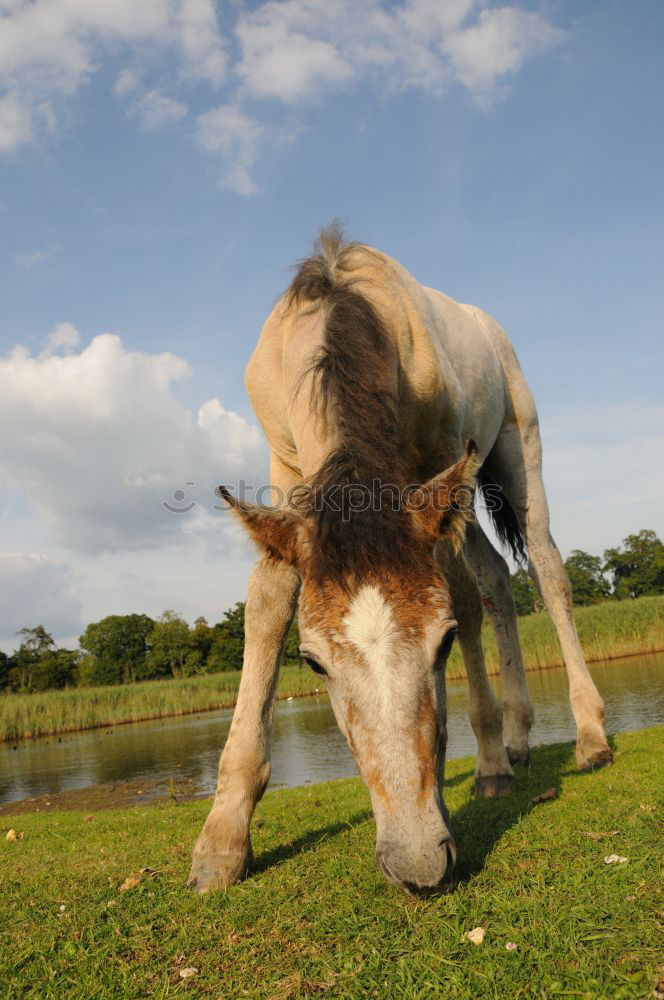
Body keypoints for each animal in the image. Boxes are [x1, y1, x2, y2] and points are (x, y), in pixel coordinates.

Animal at [188, 227, 612, 900]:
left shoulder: (439, 461)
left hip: (513, 447)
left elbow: (460, 598)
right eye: (313, 663)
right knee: (497, 576)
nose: (418, 865)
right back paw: (521, 739)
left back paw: (586, 737)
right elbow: (267, 608)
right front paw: (220, 846)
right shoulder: (289, 482)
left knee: (545, 567)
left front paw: (489, 765)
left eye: (443, 645)